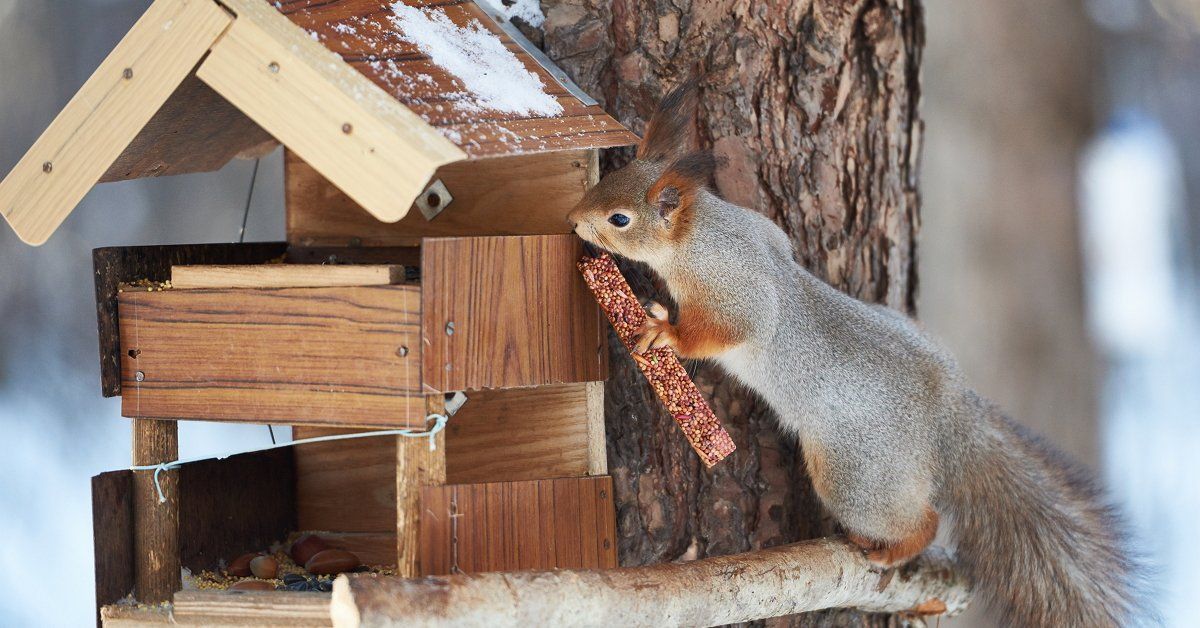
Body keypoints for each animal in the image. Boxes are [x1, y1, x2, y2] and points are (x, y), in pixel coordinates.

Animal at [566, 79, 1147, 628]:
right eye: (602, 183)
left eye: (619, 219)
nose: (572, 219)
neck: (701, 233)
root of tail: (947, 412)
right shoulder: (766, 232)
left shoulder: (737, 291)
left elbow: (730, 329)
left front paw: (663, 330)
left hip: (855, 472)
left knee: (921, 521)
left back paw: (887, 549)